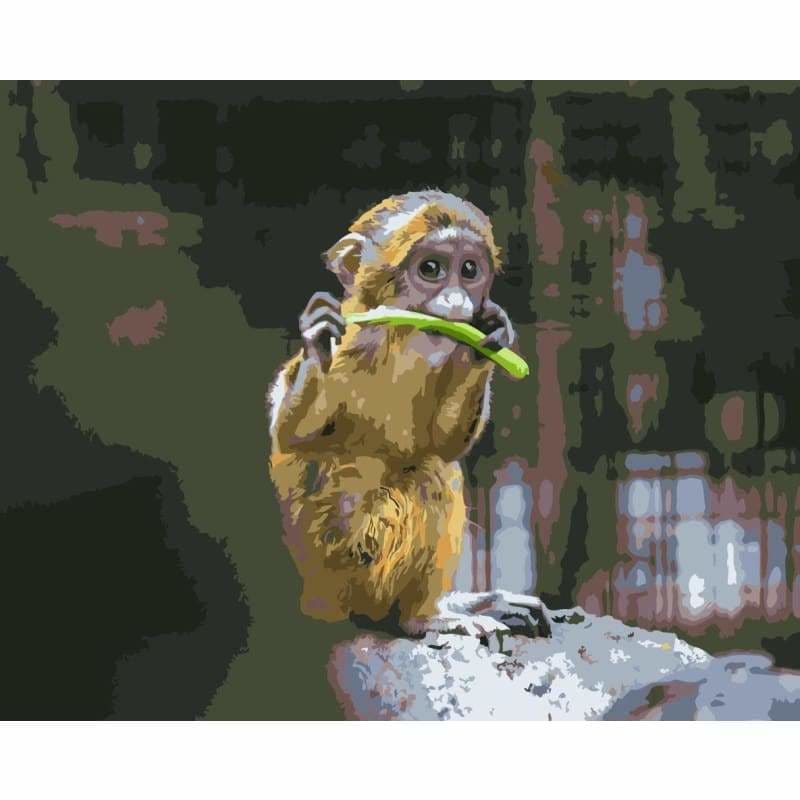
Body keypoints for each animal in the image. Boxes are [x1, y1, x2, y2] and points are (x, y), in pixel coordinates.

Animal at [267, 190, 550, 645]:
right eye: (431, 269)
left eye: (469, 270)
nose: (457, 302)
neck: (400, 341)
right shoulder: (354, 342)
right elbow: (291, 437)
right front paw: (317, 343)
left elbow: (444, 442)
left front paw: (490, 335)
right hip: (345, 570)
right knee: (427, 477)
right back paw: (420, 619)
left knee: (436, 466)